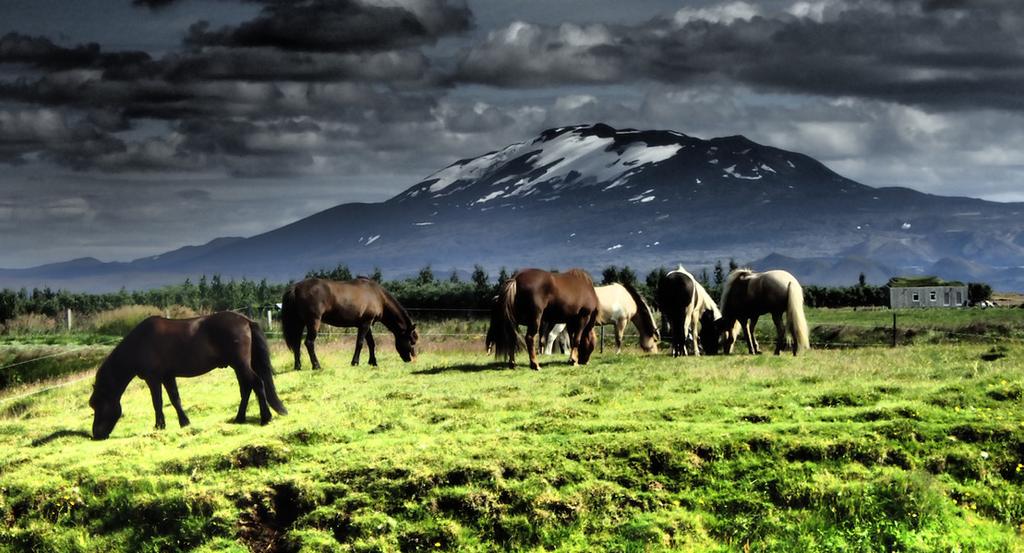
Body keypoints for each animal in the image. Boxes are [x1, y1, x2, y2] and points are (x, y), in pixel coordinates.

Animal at [89, 311, 288, 440]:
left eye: (97, 405)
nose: (96, 435)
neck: (139, 344)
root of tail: (246, 321)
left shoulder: (154, 379)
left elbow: (157, 402)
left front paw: (159, 426)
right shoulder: (167, 377)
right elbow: (175, 399)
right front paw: (184, 422)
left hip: (240, 364)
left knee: (257, 383)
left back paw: (265, 418)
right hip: (238, 365)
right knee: (247, 388)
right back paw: (239, 418)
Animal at [280, 276, 415, 370]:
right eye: (411, 341)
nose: (410, 359)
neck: (378, 296)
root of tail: (295, 288)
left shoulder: (366, 324)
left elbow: (371, 343)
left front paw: (373, 362)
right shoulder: (365, 324)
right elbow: (360, 343)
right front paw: (355, 362)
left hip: (299, 323)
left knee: (296, 344)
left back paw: (298, 366)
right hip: (313, 322)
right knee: (309, 343)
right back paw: (316, 366)